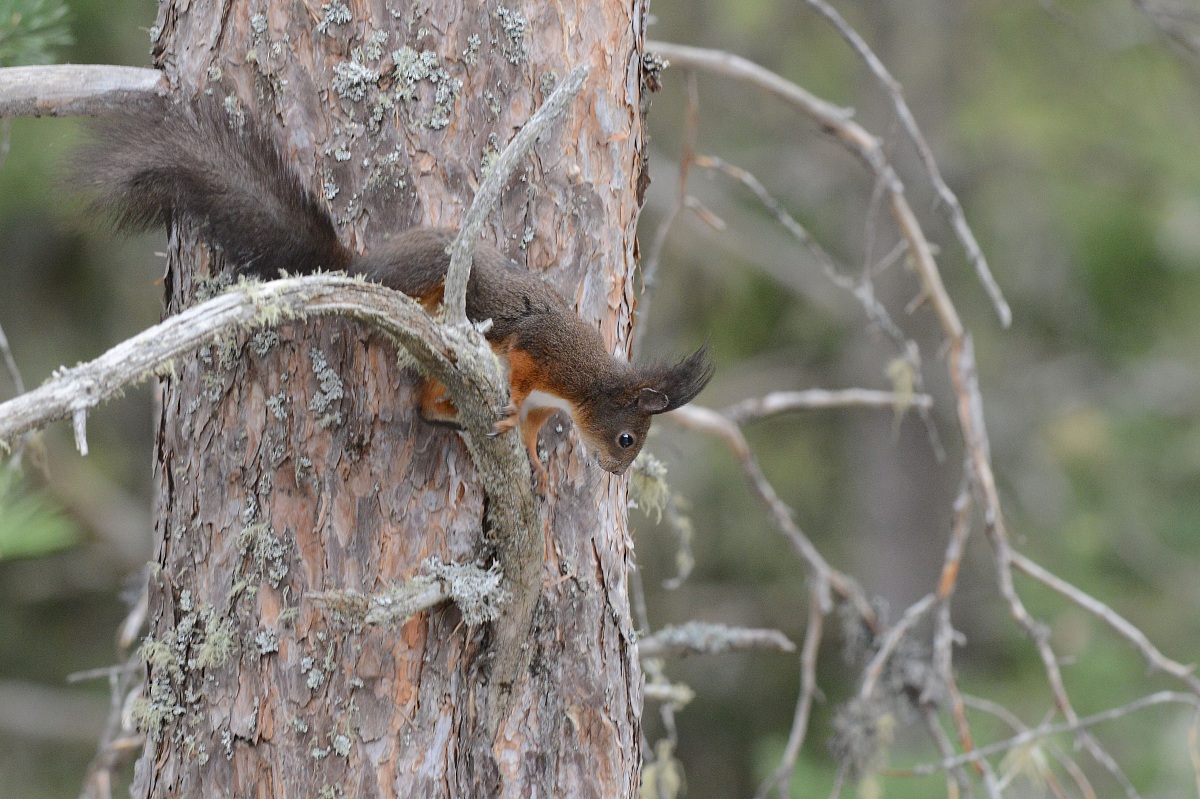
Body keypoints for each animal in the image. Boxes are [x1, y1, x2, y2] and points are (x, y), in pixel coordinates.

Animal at [71, 95, 713, 476]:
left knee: (424, 407)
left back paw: (453, 413)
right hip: (429, 276)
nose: (614, 472)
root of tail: (364, 267)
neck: (581, 389)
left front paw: (531, 459)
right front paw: (507, 413)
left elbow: (530, 427)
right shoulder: (542, 349)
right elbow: (518, 370)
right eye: (628, 439)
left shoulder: (546, 402)